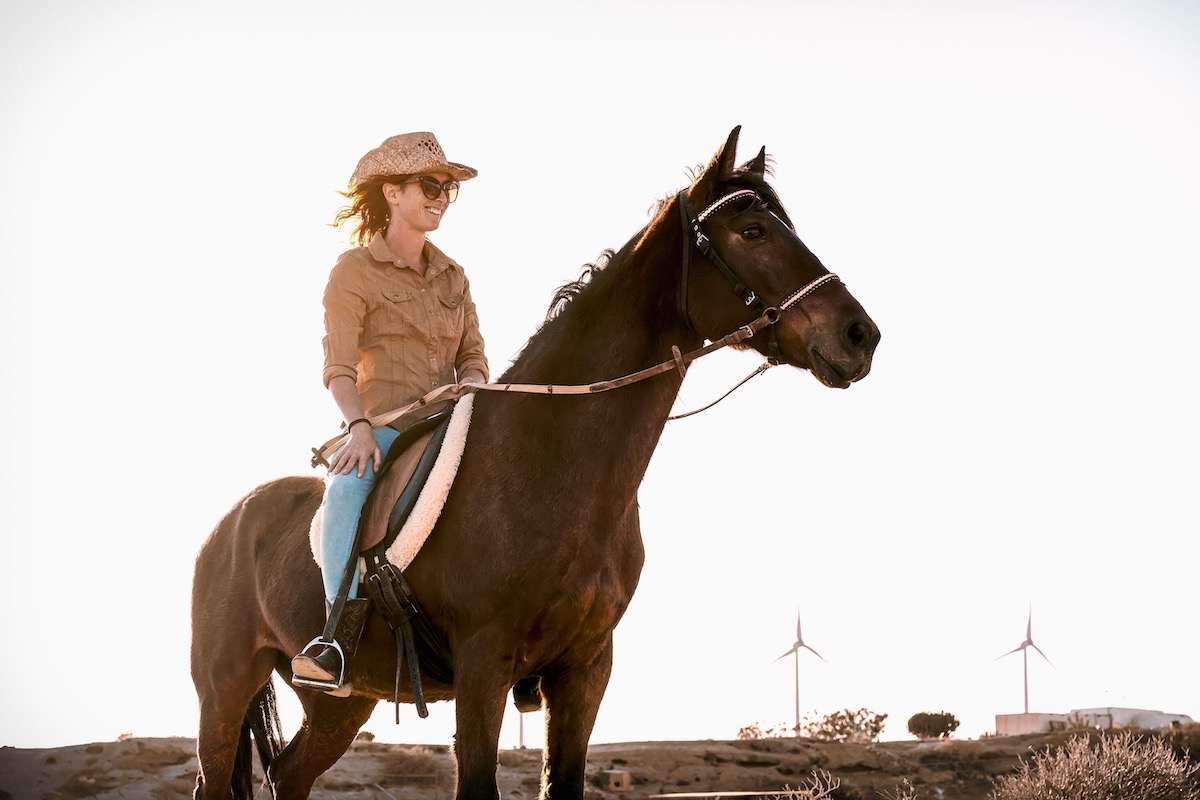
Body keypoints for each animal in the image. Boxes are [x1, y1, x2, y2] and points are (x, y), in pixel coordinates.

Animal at [189, 128, 883, 796]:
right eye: (752, 230)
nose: (861, 335)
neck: (551, 465)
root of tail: (227, 525)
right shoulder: (483, 665)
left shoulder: (585, 670)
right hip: (224, 690)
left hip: (343, 701)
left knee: (289, 775)